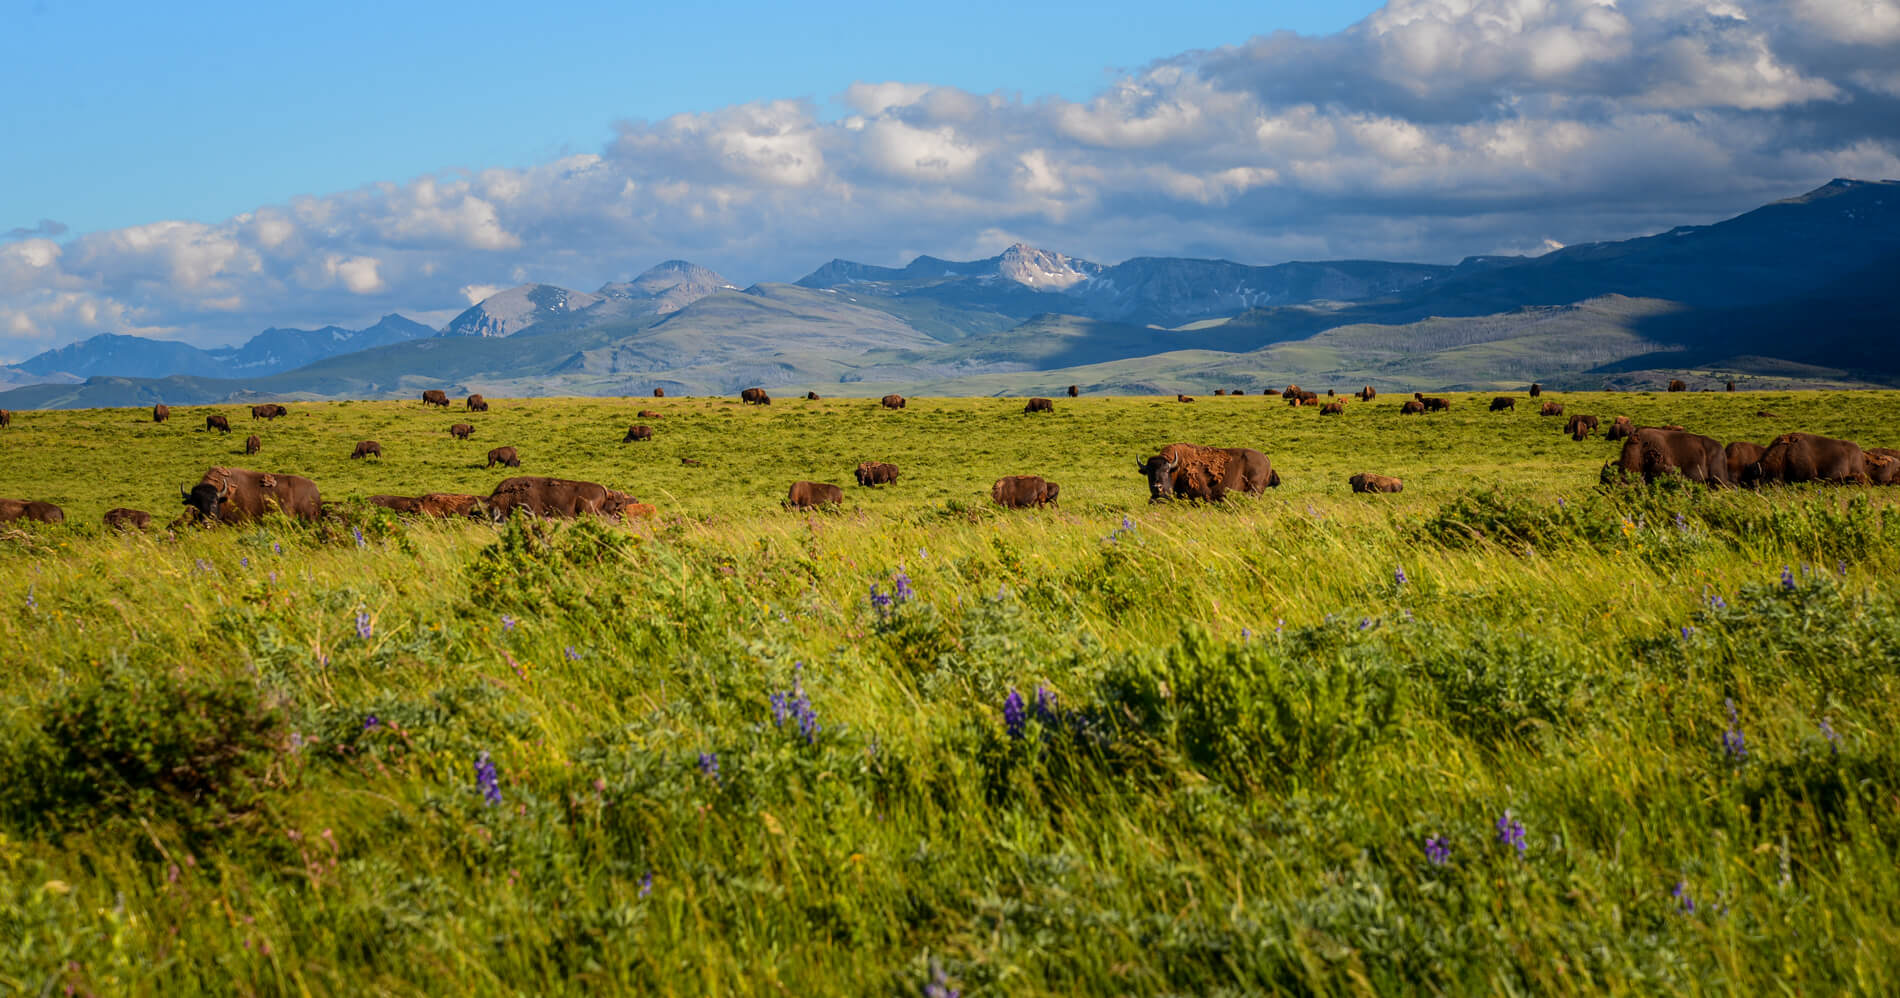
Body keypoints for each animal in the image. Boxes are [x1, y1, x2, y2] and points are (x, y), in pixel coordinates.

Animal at [1132, 442, 1284, 501]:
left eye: (1166, 470)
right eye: (1149, 473)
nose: (1157, 487)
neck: (1177, 466)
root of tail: (1267, 460)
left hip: (1254, 491)